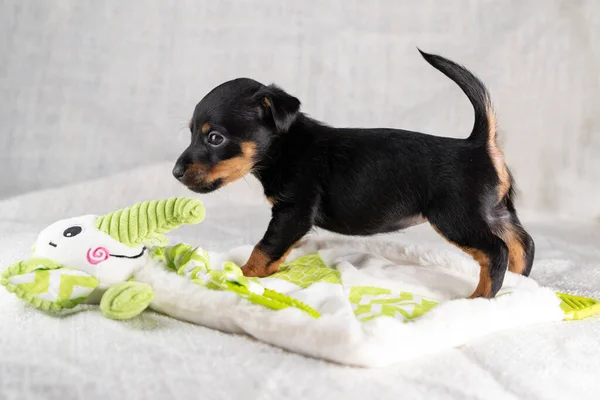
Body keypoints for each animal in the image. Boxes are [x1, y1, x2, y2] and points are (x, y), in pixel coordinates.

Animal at [172, 50, 536, 298]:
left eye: (214, 138)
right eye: (190, 133)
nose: (175, 172)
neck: (286, 145)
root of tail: (479, 143)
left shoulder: (292, 212)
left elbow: (263, 248)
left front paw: (239, 276)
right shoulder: (291, 219)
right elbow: (276, 250)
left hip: (455, 217)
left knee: (496, 250)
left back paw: (481, 297)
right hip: (496, 212)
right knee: (523, 244)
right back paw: (519, 286)